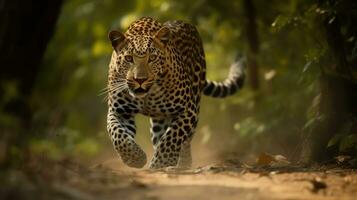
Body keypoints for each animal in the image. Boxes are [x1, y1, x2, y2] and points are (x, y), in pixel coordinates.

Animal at [105, 16, 245, 169]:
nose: (140, 79)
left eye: (152, 58)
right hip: (160, 120)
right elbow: (118, 135)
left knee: (185, 141)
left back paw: (182, 165)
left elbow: (172, 137)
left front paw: (160, 164)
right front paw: (135, 158)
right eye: (129, 58)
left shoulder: (188, 110)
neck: (146, 96)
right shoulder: (119, 111)